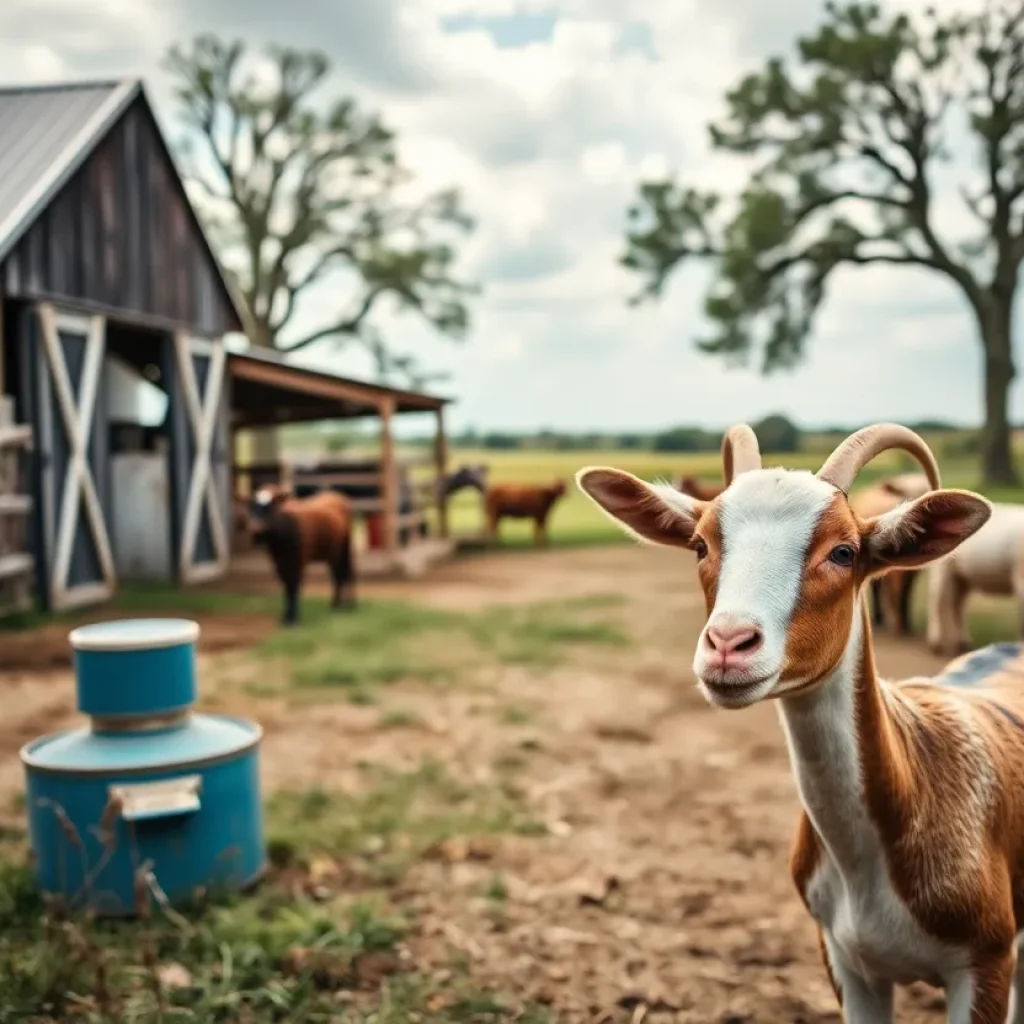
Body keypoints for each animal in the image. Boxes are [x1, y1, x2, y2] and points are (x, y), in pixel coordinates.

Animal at [250, 485, 356, 622]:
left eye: (271, 506)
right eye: (252, 507)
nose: (256, 530)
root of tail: (336, 495)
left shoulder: (298, 562)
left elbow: (293, 586)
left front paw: (293, 618)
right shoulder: (279, 563)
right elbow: (287, 586)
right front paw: (286, 616)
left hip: (345, 548)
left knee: (345, 573)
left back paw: (348, 604)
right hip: (333, 551)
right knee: (337, 574)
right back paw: (336, 604)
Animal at [847, 473, 937, 634]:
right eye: (904, 495)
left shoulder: (911, 571)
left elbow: (906, 592)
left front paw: (906, 624)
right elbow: (896, 593)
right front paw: (898, 627)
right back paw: (879, 619)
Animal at [929, 501, 1024, 655]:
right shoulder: (1020, 578)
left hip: (962, 576)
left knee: (957, 604)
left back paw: (963, 644)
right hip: (941, 568)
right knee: (937, 602)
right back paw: (936, 644)